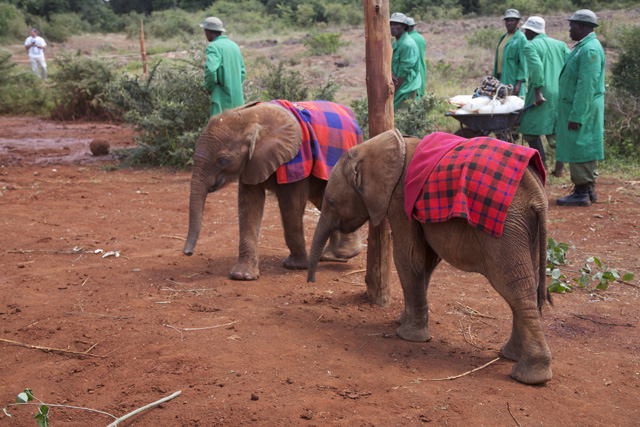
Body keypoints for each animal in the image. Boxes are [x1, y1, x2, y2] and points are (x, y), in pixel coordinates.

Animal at [308, 130, 552, 384]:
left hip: (504, 228)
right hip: (525, 229)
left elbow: (408, 257)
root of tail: (538, 194)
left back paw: (529, 377)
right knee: (528, 283)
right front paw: (402, 320)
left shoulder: (399, 199)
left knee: (514, 287)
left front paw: (407, 335)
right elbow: (425, 261)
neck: (372, 147)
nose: (312, 280)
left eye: (331, 202)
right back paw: (511, 356)